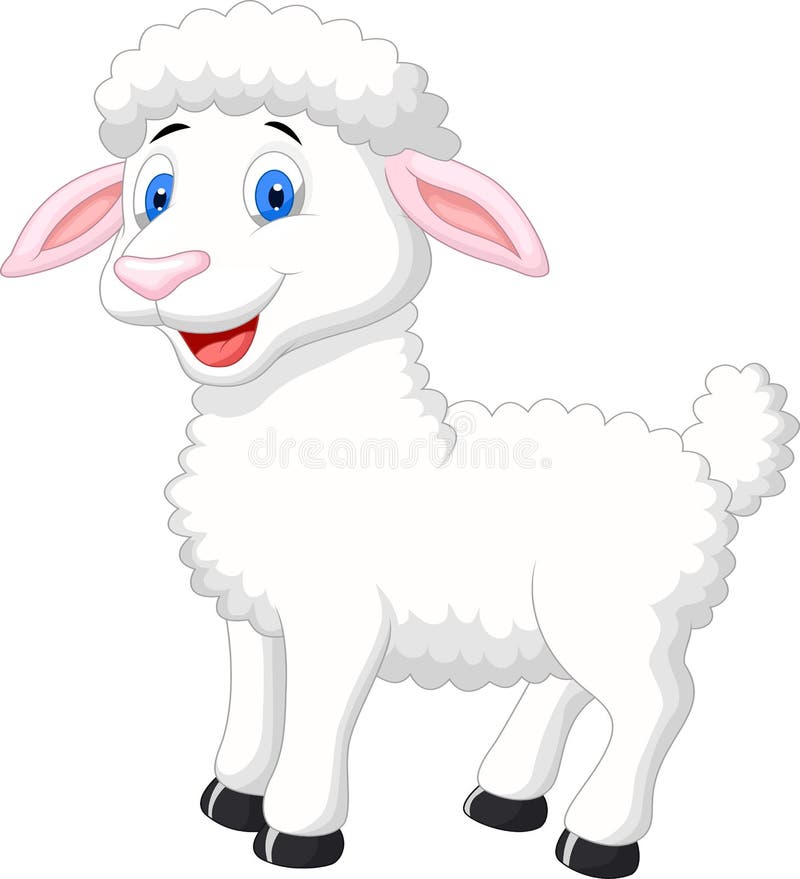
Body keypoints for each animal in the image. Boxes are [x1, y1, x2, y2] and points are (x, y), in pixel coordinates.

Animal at [1, 3, 797, 876]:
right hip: (587, 609)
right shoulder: (250, 608)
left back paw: (597, 836)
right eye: (155, 192)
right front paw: (232, 797)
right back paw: (506, 797)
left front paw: (296, 832)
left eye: (276, 192)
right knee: (573, 686)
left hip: (618, 604)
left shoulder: (338, 610)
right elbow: (252, 704)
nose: (155, 273)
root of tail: (706, 461)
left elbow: (316, 717)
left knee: (659, 701)